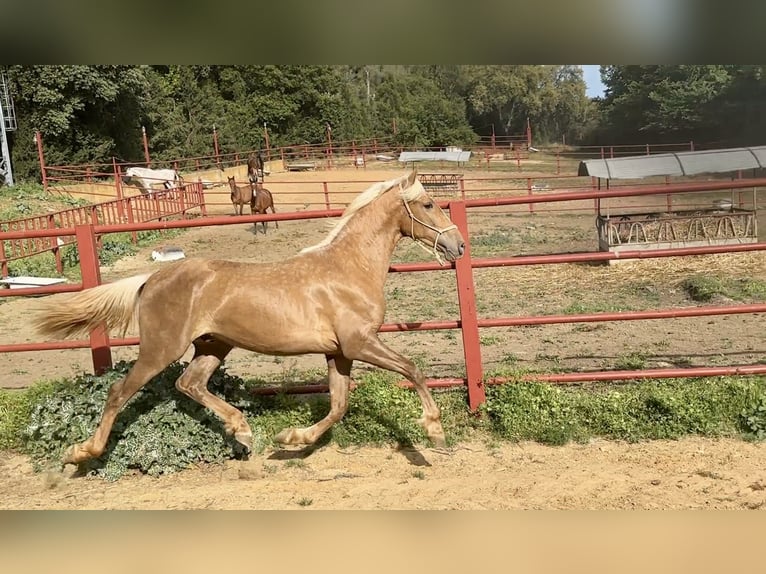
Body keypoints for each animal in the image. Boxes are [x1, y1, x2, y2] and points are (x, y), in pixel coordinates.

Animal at [32, 171, 465, 467]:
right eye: (428, 204)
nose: (458, 244)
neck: (347, 268)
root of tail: (151, 278)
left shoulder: (339, 352)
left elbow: (339, 405)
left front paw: (291, 438)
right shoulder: (360, 343)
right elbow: (412, 369)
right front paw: (435, 430)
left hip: (213, 346)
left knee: (189, 383)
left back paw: (242, 431)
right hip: (160, 348)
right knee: (119, 392)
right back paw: (81, 453)